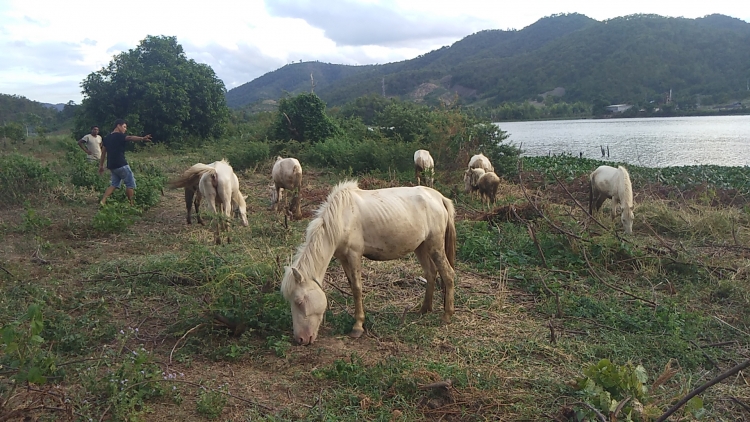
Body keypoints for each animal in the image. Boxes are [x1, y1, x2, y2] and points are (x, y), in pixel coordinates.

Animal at [282, 180, 458, 344]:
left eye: (299, 302)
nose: (301, 339)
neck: (342, 217)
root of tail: (439, 198)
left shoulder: (354, 255)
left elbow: (357, 288)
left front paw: (358, 326)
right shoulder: (343, 257)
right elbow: (351, 285)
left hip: (435, 246)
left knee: (448, 274)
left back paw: (447, 316)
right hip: (421, 247)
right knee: (431, 273)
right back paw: (424, 310)